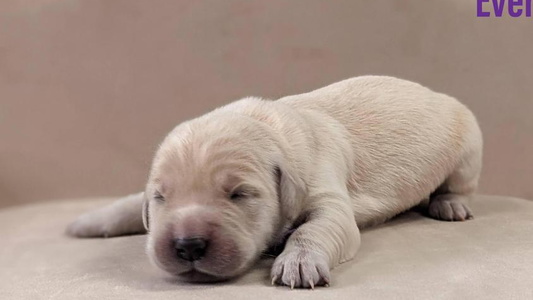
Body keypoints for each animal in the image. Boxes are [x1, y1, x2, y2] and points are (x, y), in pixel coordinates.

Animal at [66, 76, 482, 290]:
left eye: (239, 194)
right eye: (160, 197)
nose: (187, 246)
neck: (270, 130)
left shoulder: (326, 193)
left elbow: (316, 228)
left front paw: (298, 262)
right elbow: (126, 204)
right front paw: (87, 222)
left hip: (469, 146)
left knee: (458, 184)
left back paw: (448, 204)